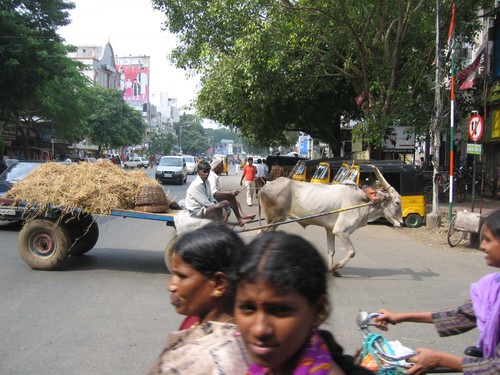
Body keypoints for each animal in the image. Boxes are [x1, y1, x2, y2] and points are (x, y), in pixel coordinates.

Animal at [258, 167, 402, 276]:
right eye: (397, 202)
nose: (401, 223)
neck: (364, 201)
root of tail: (265, 186)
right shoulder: (341, 231)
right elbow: (352, 252)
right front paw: (335, 267)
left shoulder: (330, 230)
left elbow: (331, 251)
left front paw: (331, 269)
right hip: (274, 220)